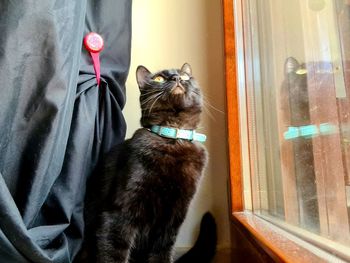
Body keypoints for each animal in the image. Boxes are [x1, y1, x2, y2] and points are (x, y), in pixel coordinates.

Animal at [77, 64, 216, 263]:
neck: (172, 138)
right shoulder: (119, 212)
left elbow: (161, 254)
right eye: (158, 79)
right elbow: (113, 253)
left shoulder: (173, 219)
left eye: (185, 76)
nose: (176, 78)